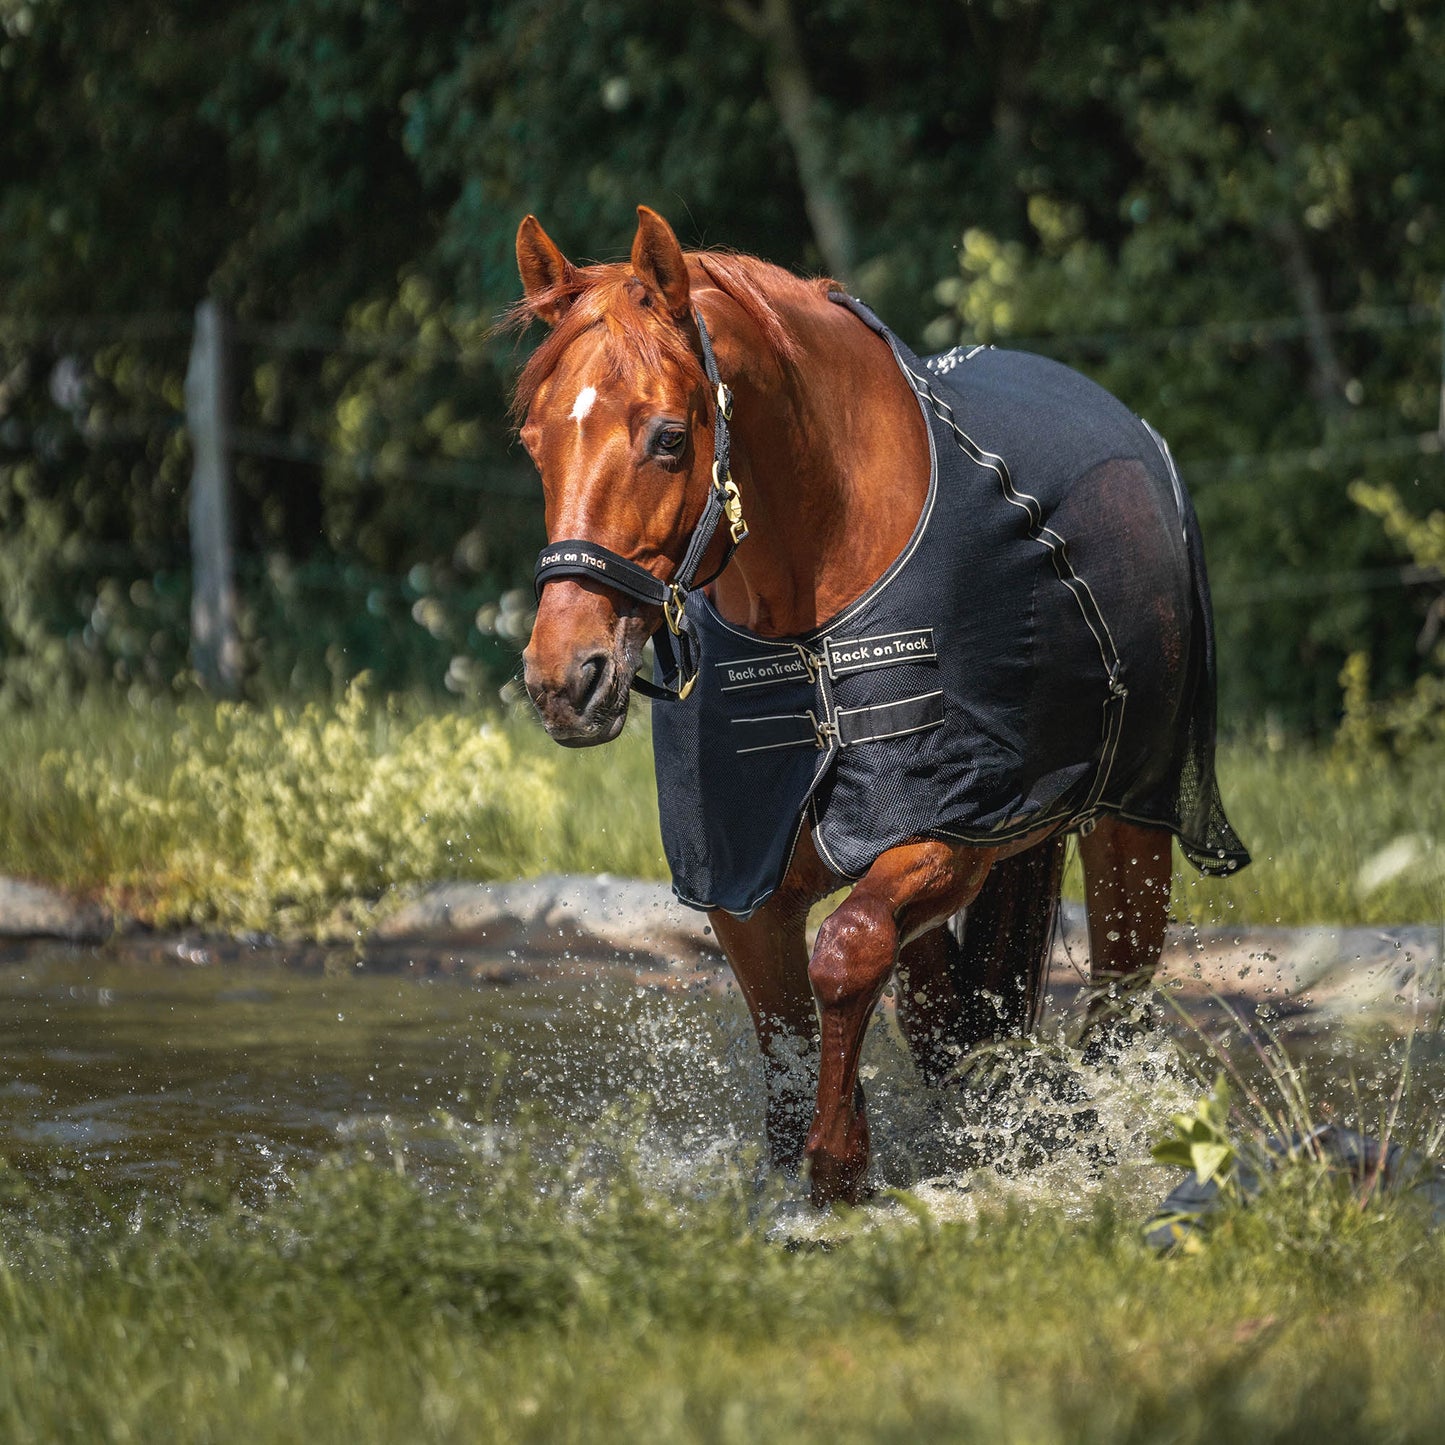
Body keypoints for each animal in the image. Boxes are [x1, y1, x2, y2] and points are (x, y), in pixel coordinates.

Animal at [512, 205, 1248, 1207]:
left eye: (668, 437)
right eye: (533, 441)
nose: (565, 677)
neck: (816, 611)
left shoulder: (946, 833)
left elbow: (848, 948)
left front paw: (839, 1168)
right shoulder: (741, 886)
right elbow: (791, 1038)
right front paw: (807, 1170)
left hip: (1131, 824)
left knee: (1115, 1006)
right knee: (944, 1017)